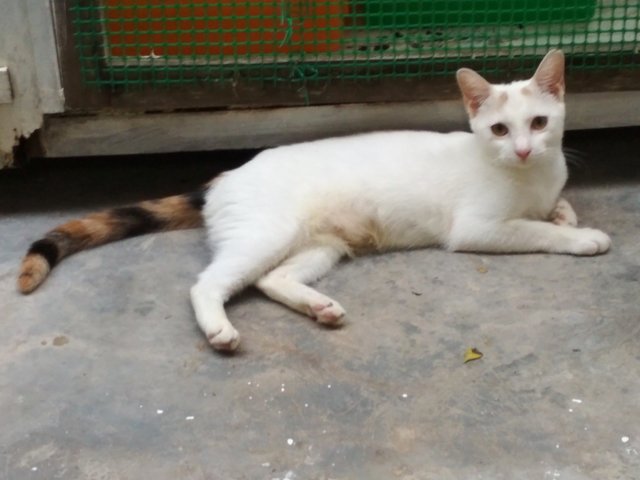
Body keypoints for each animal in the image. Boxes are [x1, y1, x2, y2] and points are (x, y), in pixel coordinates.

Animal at [18, 49, 608, 352]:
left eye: (539, 123)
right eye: (500, 129)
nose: (525, 149)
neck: (530, 176)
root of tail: (224, 175)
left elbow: (555, 210)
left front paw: (565, 212)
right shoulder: (478, 228)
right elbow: (535, 229)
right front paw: (582, 237)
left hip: (320, 246)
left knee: (267, 279)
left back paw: (318, 307)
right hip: (267, 233)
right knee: (208, 283)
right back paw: (219, 329)